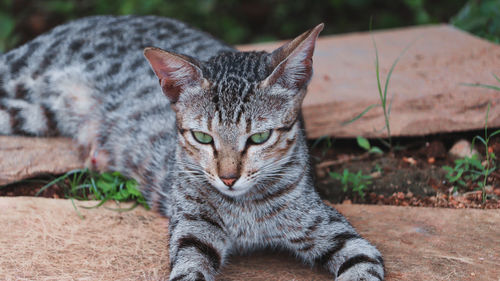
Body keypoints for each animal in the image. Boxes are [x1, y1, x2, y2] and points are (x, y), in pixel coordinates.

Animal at [0, 15, 384, 280]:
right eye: (202, 138)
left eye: (259, 138)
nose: (228, 178)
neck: (243, 209)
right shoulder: (193, 229)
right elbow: (189, 268)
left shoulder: (334, 231)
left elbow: (362, 263)